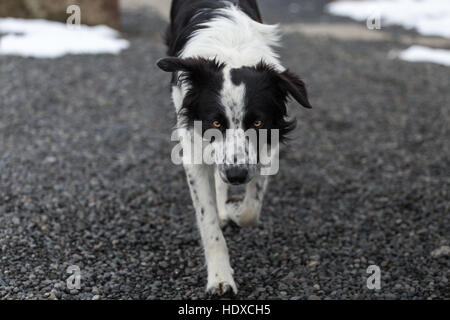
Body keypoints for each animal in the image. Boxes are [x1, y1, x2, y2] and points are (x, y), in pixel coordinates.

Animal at [156, 0, 312, 296]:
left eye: (258, 122)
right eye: (216, 122)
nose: (237, 176)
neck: (232, 54)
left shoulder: (267, 144)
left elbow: (252, 208)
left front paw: (236, 212)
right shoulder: (194, 150)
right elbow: (208, 223)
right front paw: (220, 278)